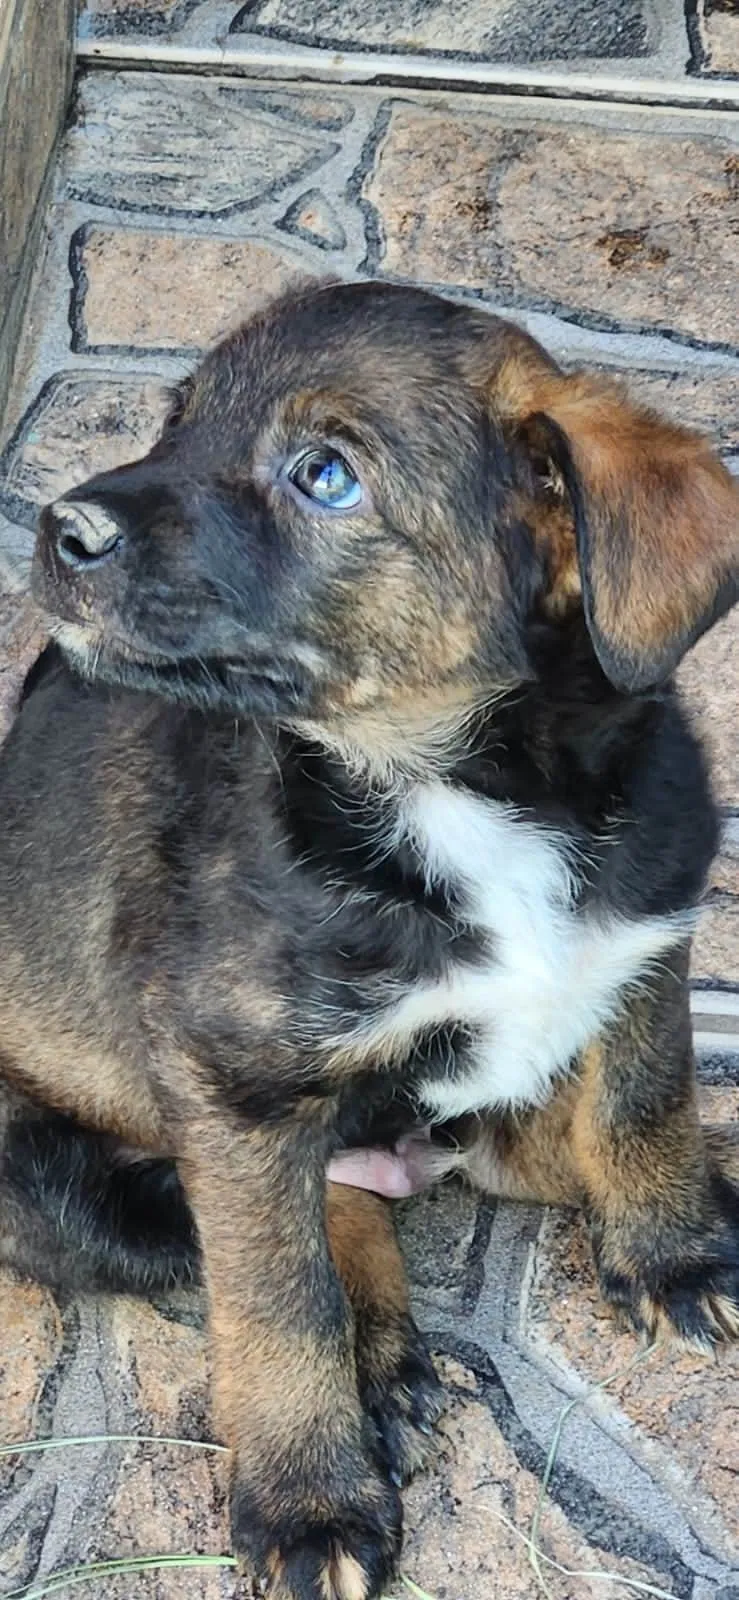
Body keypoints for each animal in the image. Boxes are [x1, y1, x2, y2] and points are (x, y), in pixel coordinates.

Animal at [0, 279, 737, 1600]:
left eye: (325, 475)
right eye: (177, 422)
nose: (57, 528)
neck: (461, 790)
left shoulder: (644, 938)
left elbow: (642, 1103)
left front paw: (673, 1256)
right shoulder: (230, 1082)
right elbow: (277, 1300)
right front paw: (308, 1504)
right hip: (45, 1171)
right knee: (301, 1221)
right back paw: (379, 1361)